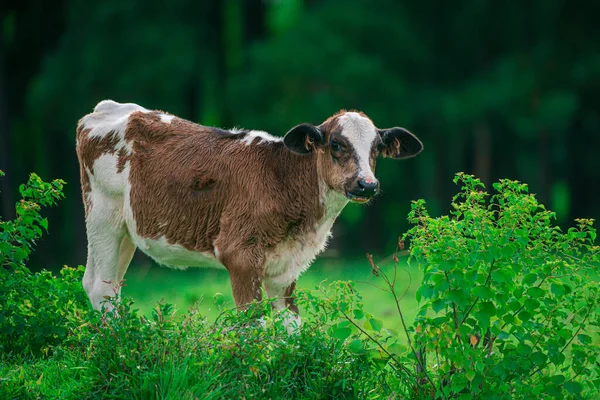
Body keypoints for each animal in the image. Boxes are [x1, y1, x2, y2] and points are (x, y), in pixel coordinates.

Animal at [74, 98, 422, 326]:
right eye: (336, 144)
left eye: (377, 148)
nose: (367, 184)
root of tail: (109, 108)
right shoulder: (239, 255)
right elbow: (253, 327)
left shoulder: (286, 268)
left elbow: (291, 328)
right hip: (102, 215)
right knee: (99, 288)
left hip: (127, 230)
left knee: (113, 288)